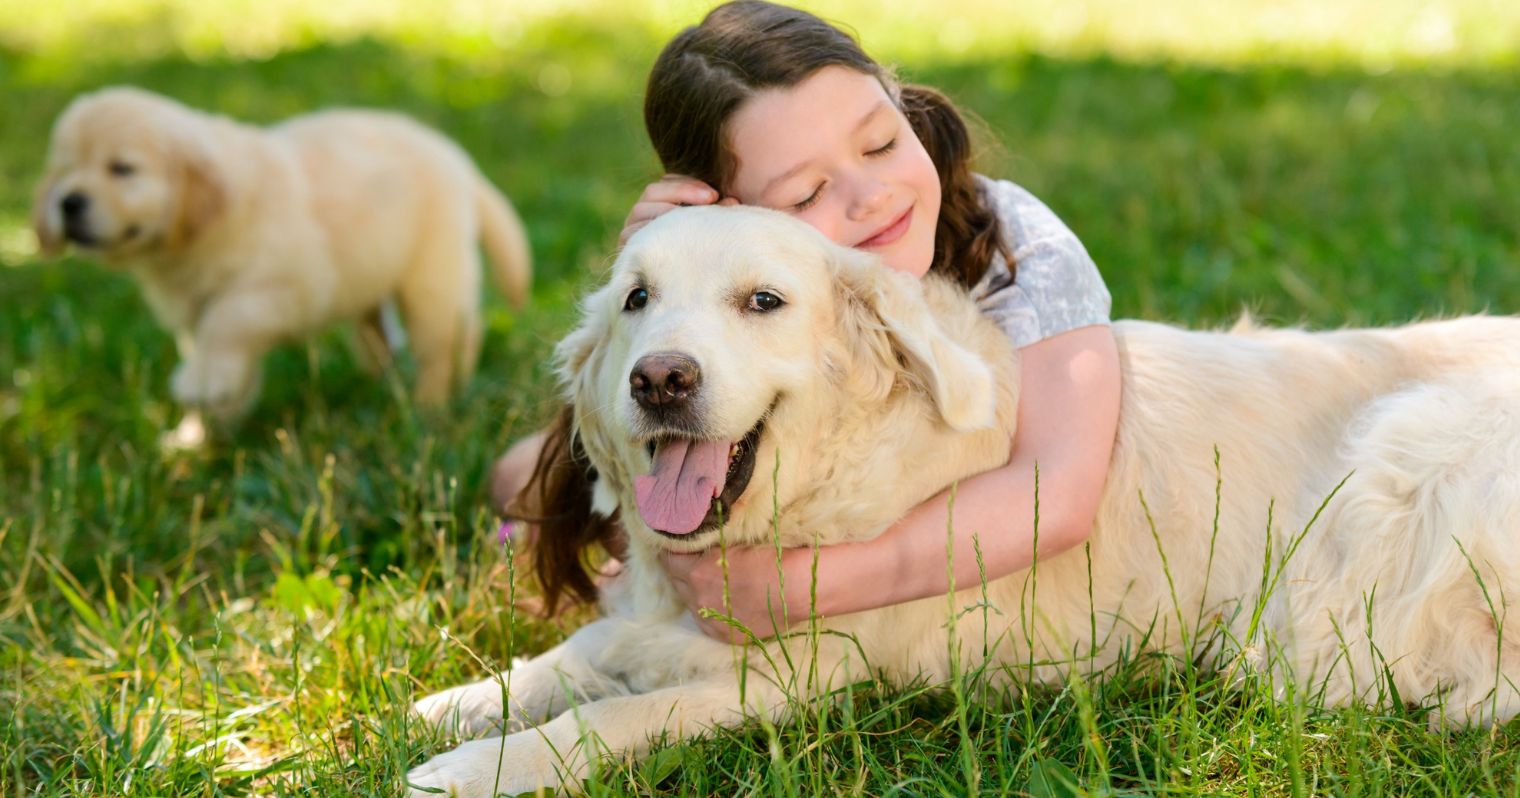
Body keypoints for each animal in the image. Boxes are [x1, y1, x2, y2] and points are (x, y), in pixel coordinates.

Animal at [32, 87, 532, 440]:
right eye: (64, 169)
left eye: (122, 169)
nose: (68, 202)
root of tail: (453, 155)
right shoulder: (197, 312)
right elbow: (224, 356)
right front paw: (199, 435)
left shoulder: (287, 285)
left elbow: (228, 322)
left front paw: (202, 389)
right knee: (381, 336)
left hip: (431, 276)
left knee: (448, 340)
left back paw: (432, 404)